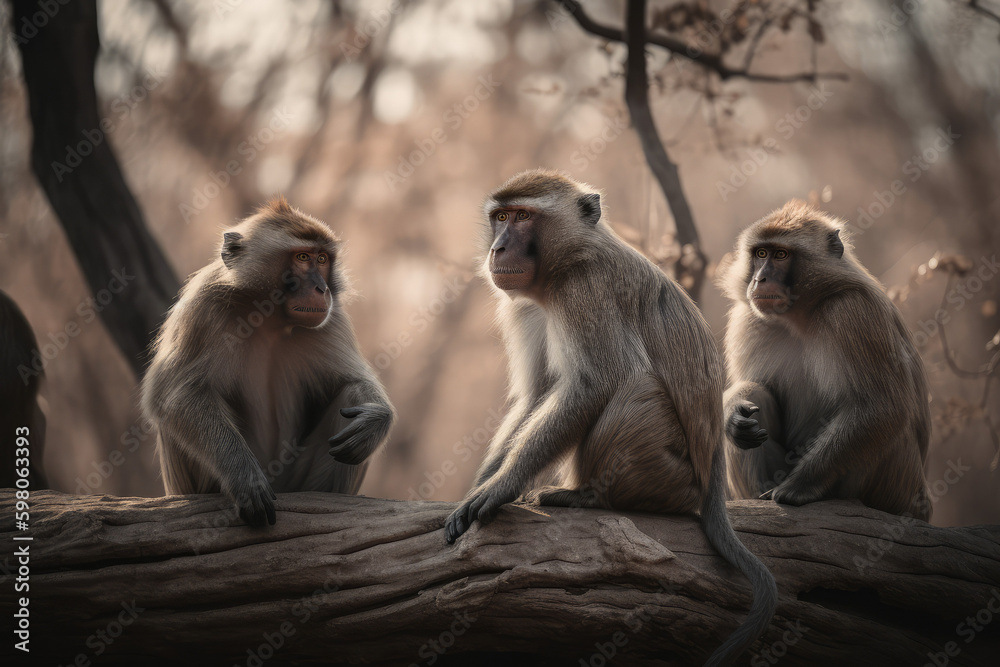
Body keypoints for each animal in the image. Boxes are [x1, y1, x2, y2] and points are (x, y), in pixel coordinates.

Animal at [141, 197, 394, 526]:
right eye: (302, 257)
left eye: (322, 259)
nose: (322, 289)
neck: (269, 315)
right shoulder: (204, 306)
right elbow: (173, 396)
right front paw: (243, 477)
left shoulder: (331, 318)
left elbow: (354, 382)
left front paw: (377, 420)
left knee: (351, 398)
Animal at [444, 170, 777, 666]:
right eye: (501, 218)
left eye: (522, 217)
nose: (498, 248)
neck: (566, 263)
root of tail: (710, 478)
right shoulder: (525, 306)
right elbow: (535, 396)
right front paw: (485, 482)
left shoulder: (584, 293)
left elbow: (596, 385)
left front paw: (501, 488)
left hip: (669, 475)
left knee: (636, 388)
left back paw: (589, 497)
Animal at [717, 200, 931, 521]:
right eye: (761, 254)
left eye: (781, 255)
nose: (759, 279)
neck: (801, 316)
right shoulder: (750, 319)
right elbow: (750, 390)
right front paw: (733, 413)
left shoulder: (851, 312)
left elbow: (882, 406)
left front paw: (800, 487)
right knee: (757, 394)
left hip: (897, 486)